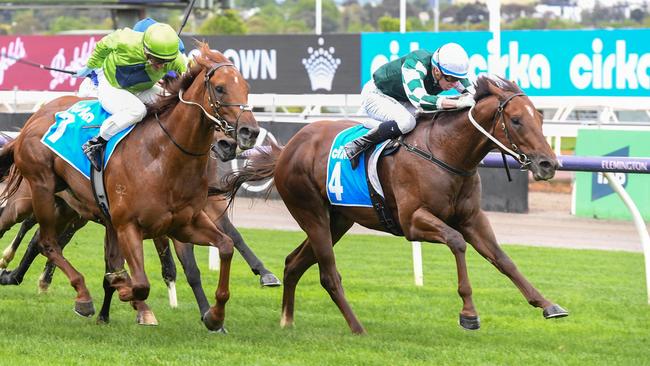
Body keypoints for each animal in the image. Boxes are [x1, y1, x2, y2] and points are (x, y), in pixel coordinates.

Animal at [0, 43, 258, 332]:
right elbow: (140, 283)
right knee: (45, 241)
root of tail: (32, 121)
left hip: (67, 207)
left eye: (246, 87)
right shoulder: (128, 225)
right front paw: (125, 291)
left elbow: (225, 245)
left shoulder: (183, 224)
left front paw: (215, 316)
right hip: (39, 190)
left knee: (38, 238)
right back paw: (81, 295)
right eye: (220, 88)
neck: (162, 156)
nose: (249, 132)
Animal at [223, 77, 568, 334]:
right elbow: (457, 242)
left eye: (540, 117)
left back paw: (287, 320)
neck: (445, 152)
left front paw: (547, 304)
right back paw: (357, 327)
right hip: (311, 213)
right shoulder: (413, 221)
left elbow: (503, 259)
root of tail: (288, 149)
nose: (548, 164)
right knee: (328, 275)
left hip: (337, 220)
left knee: (294, 262)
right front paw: (469, 313)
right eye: (516, 120)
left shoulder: (472, 218)